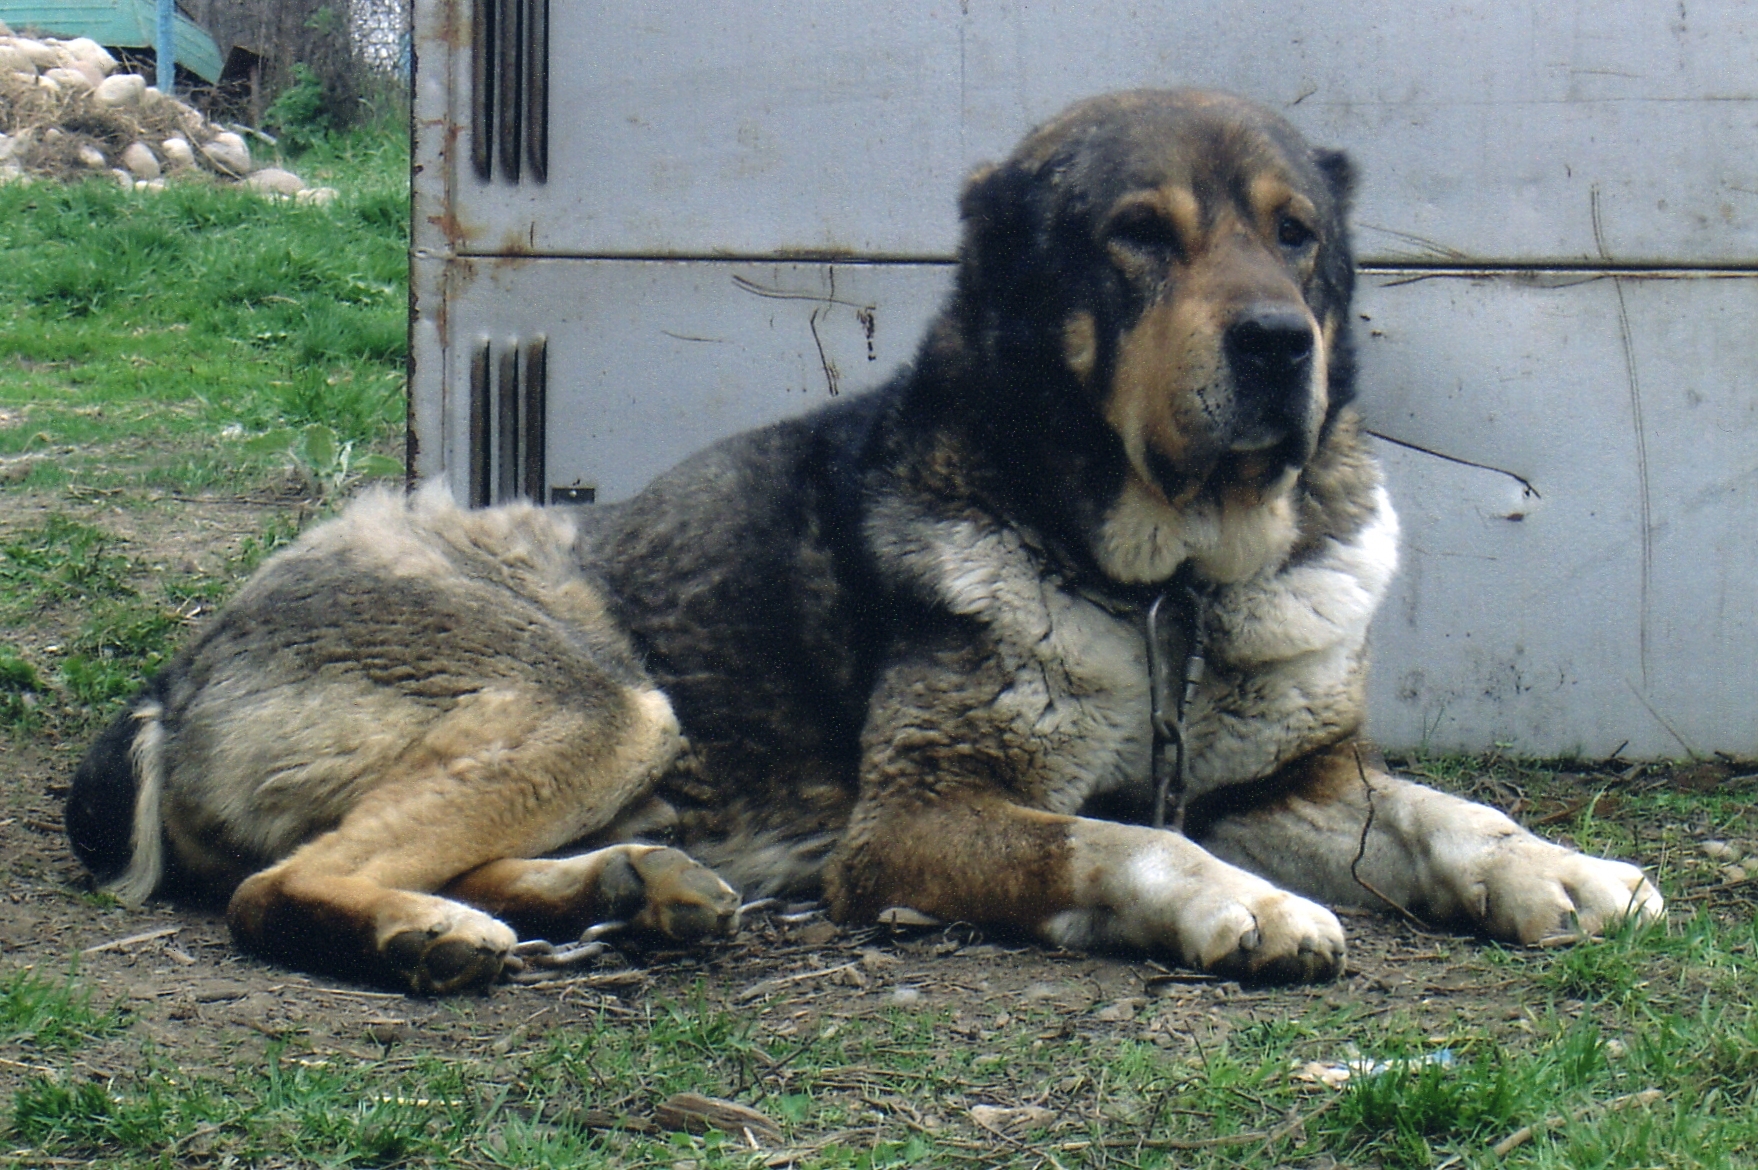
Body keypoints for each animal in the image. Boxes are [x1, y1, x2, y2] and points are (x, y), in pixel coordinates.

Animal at [65, 91, 1659, 990]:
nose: (1281, 345)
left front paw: (1560, 871)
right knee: (284, 884)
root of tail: (174, 675)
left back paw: (632, 892)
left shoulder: (1294, 780)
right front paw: (1243, 905)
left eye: (1295, 234)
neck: (1171, 588)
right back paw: (430, 939)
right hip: (597, 699)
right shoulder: (921, 819)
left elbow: (1449, 814)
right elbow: (1123, 838)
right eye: (1139, 235)